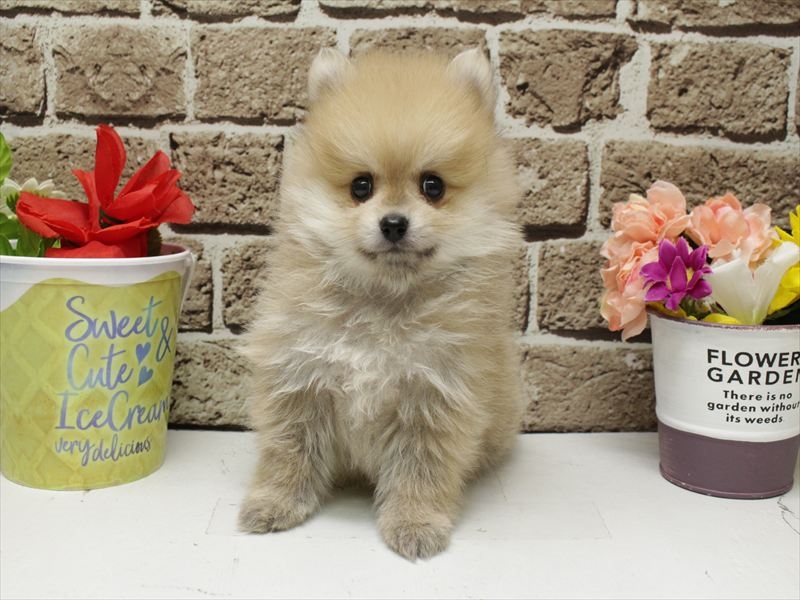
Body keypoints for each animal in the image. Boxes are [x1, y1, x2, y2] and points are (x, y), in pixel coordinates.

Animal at [238, 47, 523, 560]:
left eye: (432, 186)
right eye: (360, 187)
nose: (393, 223)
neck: (382, 304)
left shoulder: (434, 396)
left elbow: (421, 471)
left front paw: (414, 523)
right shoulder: (298, 379)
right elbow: (288, 451)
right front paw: (275, 503)